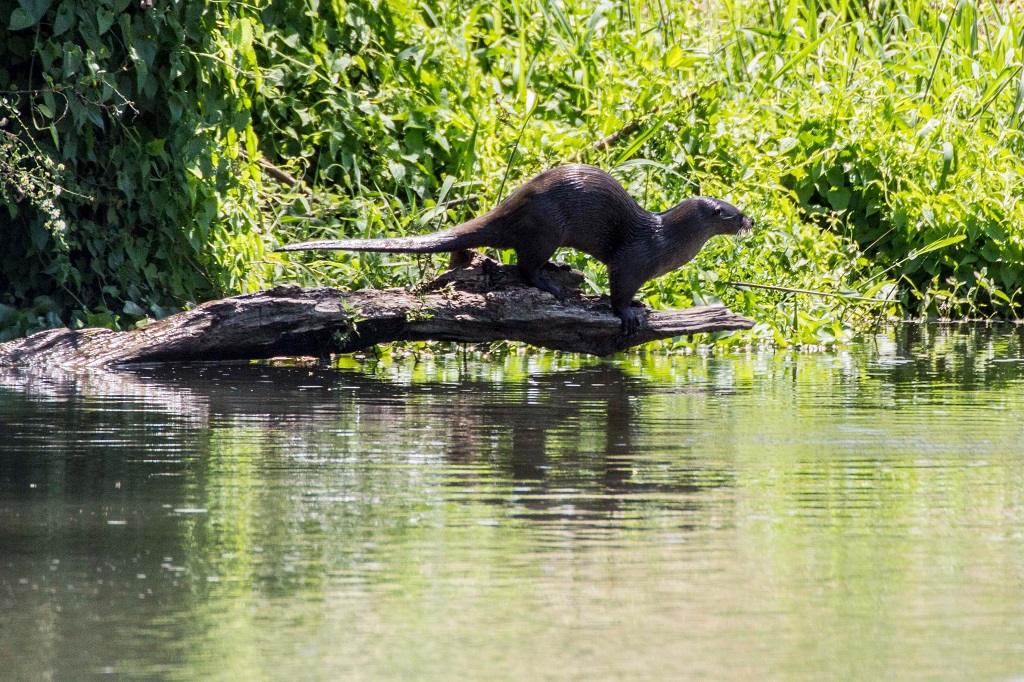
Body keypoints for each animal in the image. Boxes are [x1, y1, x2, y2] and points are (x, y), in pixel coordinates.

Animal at [274, 164, 753, 333]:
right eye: (733, 212)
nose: (752, 220)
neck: (665, 241)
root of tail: (515, 203)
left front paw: (643, 304)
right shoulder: (633, 262)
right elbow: (618, 290)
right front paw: (629, 313)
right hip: (546, 226)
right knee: (525, 267)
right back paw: (551, 284)